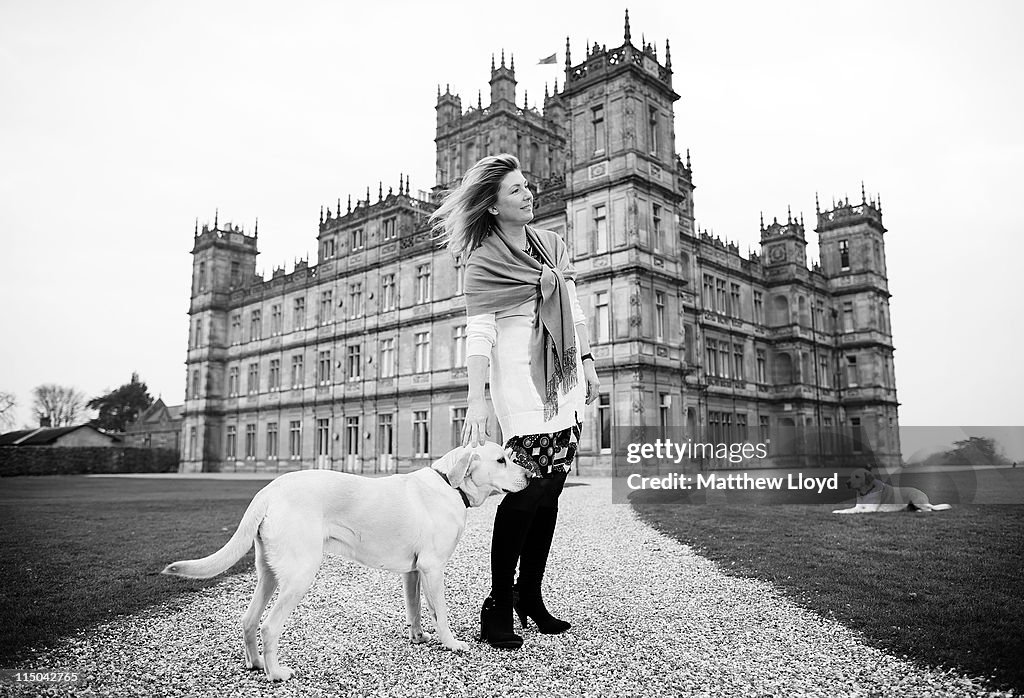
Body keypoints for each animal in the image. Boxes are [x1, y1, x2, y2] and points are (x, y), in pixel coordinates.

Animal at [161, 440, 528, 679]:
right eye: (501, 460)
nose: (530, 476)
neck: (451, 485)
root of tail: (270, 489)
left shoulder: (413, 572)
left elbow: (414, 609)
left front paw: (418, 637)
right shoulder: (433, 568)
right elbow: (441, 612)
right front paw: (451, 644)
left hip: (269, 574)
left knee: (249, 620)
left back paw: (256, 665)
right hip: (299, 575)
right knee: (268, 626)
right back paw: (276, 673)